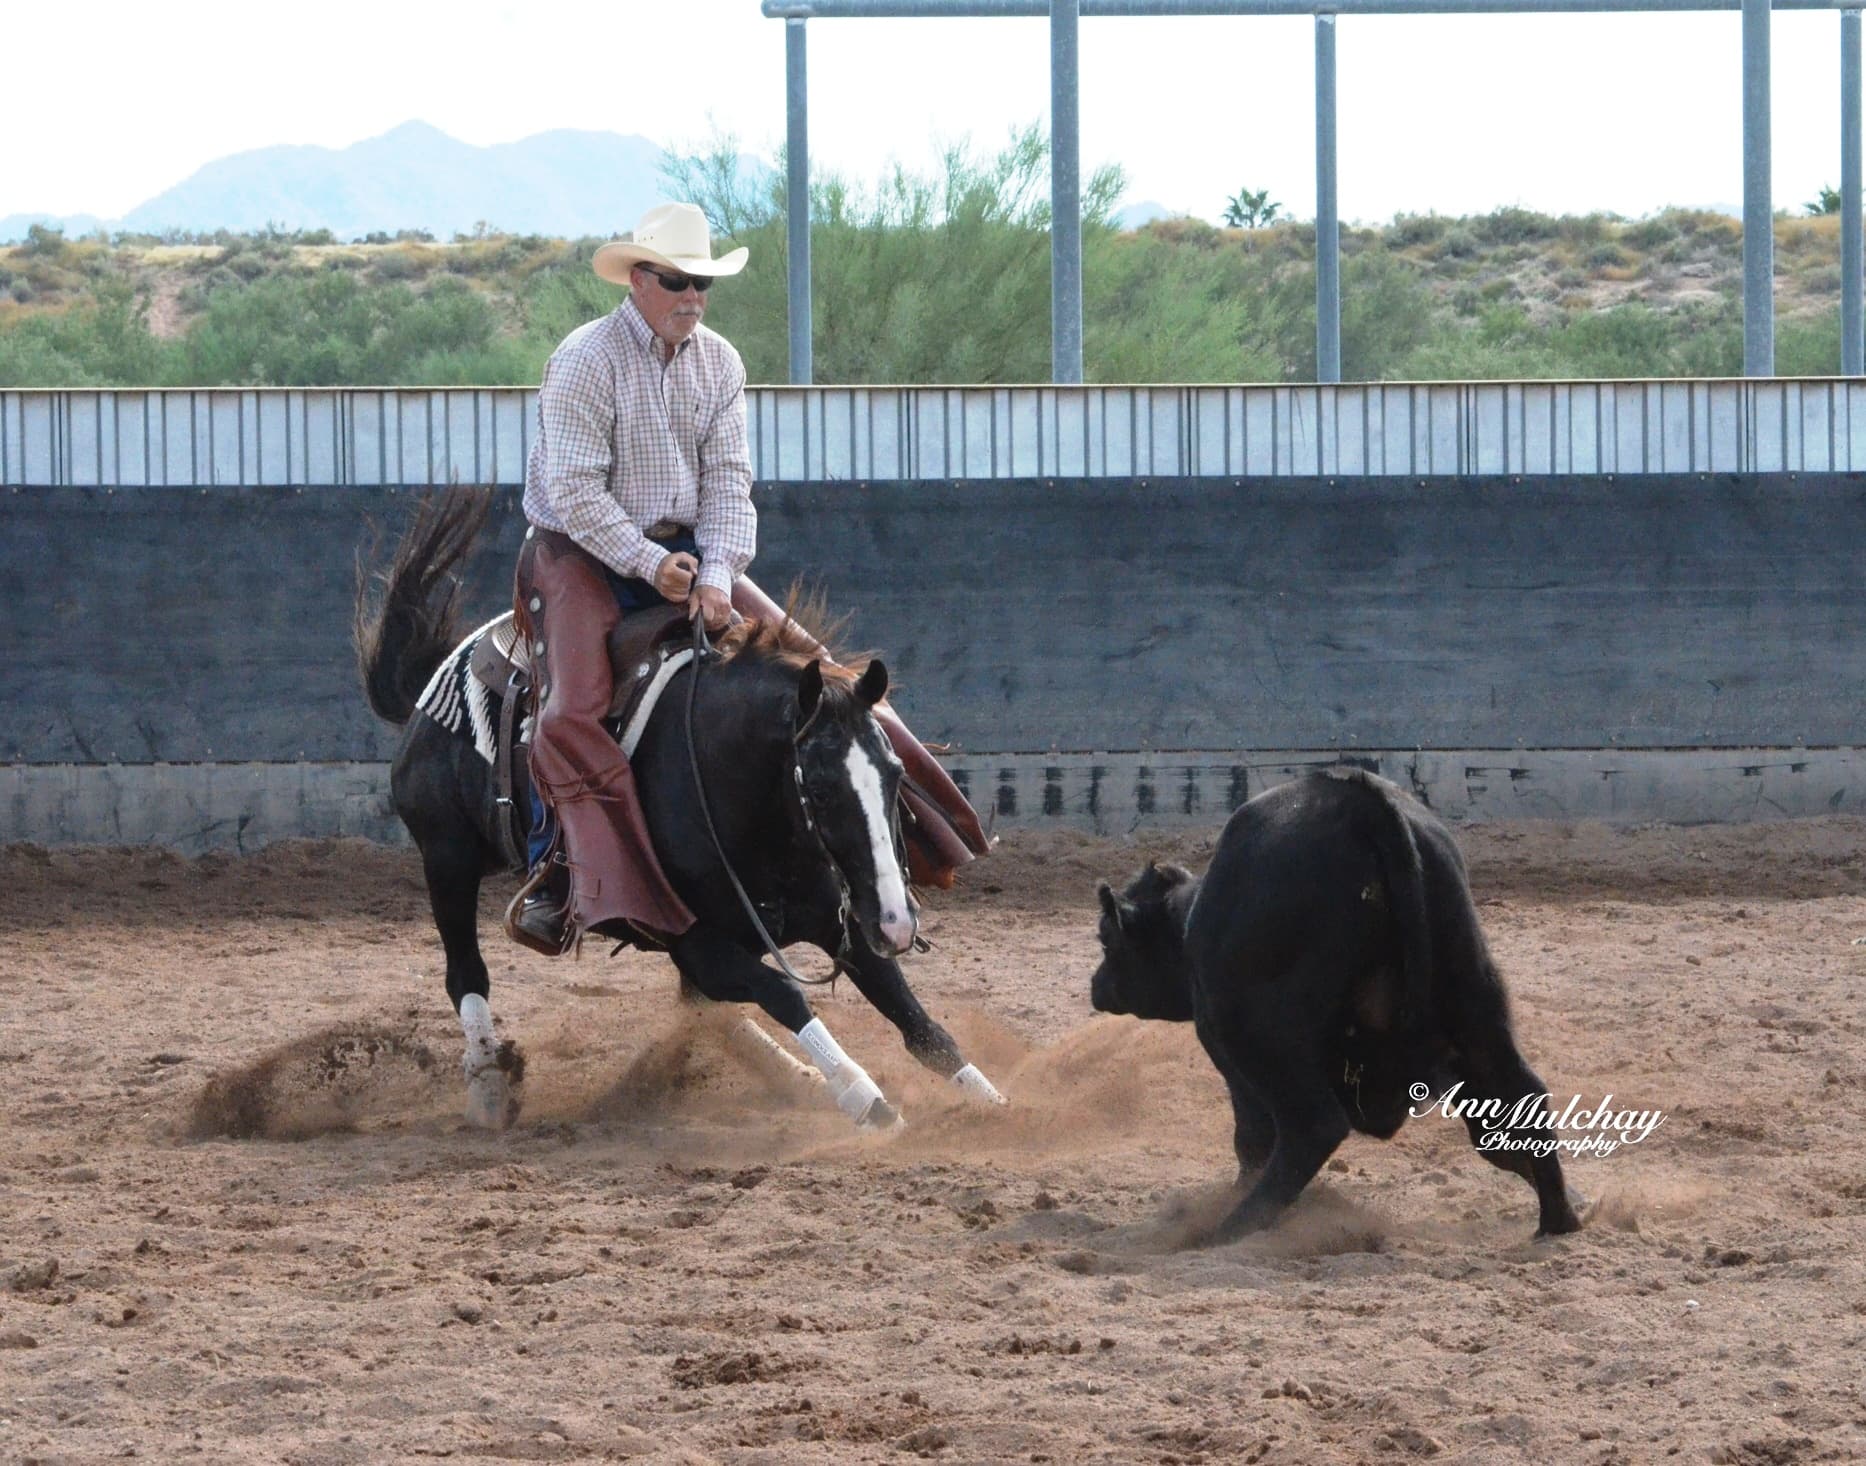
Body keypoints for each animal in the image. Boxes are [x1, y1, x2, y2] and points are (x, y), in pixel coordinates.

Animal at [354, 487, 1007, 1131]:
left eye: (896, 776)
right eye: (819, 788)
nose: (897, 923)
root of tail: (435, 678)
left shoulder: (836, 918)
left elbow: (916, 1021)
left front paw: (995, 1103)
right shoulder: (695, 940)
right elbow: (785, 995)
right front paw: (864, 1095)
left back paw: (796, 1078)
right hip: (448, 858)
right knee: (466, 973)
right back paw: (490, 1089)